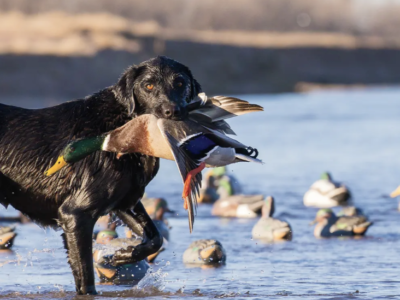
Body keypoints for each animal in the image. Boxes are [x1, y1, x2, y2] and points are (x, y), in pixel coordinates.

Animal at [0, 55, 200, 292]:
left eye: (179, 82)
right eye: (148, 85)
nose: (172, 112)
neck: (121, 123)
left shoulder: (124, 201)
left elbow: (155, 238)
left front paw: (123, 255)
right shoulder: (75, 215)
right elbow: (86, 276)